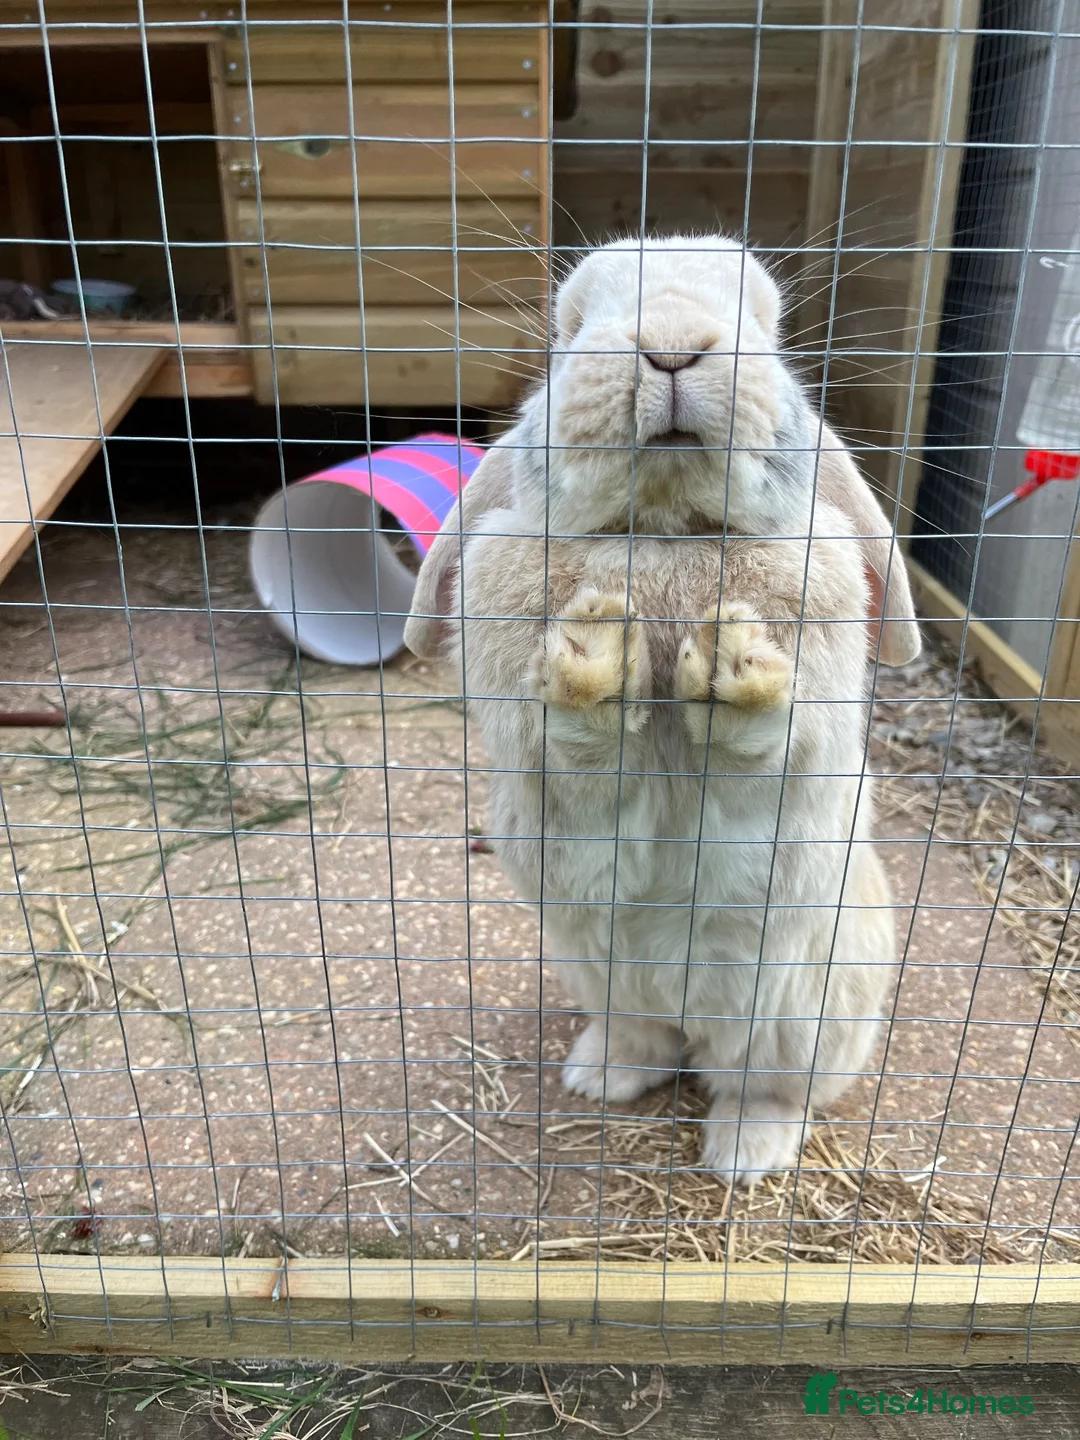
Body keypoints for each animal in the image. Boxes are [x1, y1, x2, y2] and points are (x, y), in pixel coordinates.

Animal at [404, 235, 920, 1183]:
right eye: (572, 322)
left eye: (765, 320)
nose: (674, 345)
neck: (669, 534)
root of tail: (691, 1020)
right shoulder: (551, 764)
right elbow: (576, 739)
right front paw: (595, 649)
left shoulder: (794, 748)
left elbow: (762, 736)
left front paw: (733, 656)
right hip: (594, 971)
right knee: (648, 1039)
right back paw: (598, 1076)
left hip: (803, 1018)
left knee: (765, 1086)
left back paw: (745, 1156)